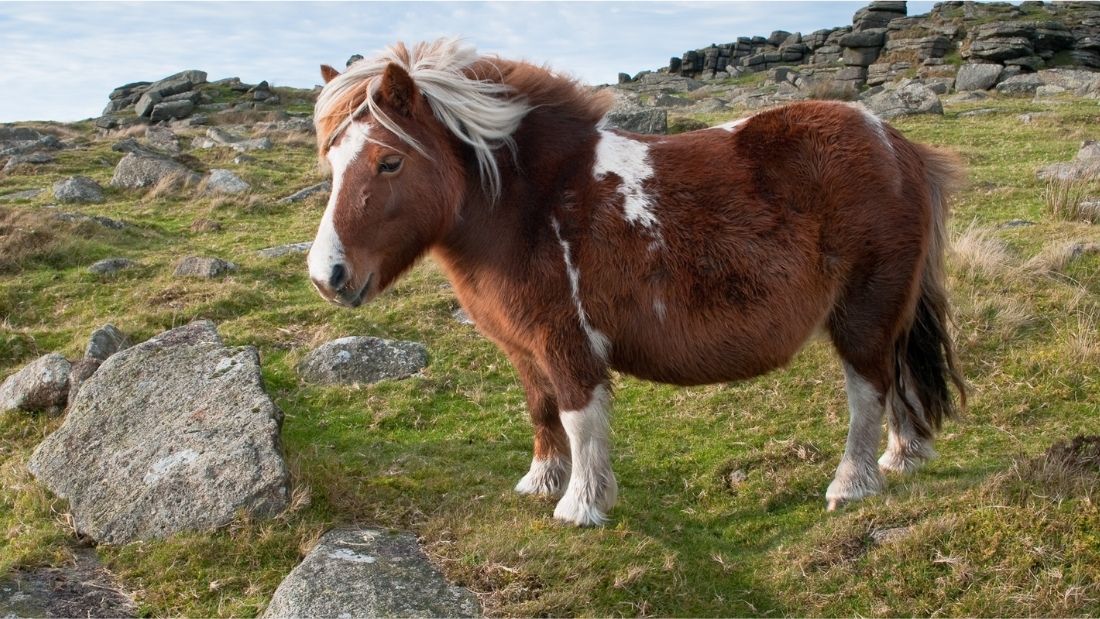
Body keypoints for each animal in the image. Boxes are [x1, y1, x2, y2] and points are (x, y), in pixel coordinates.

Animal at [305, 38, 968, 525]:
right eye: (332, 162)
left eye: (390, 161)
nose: (326, 276)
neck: (531, 204)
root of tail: (899, 146)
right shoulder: (524, 347)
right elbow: (541, 408)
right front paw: (542, 481)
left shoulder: (567, 342)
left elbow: (579, 417)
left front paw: (580, 505)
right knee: (897, 384)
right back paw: (902, 457)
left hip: (864, 313)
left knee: (868, 392)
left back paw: (852, 485)